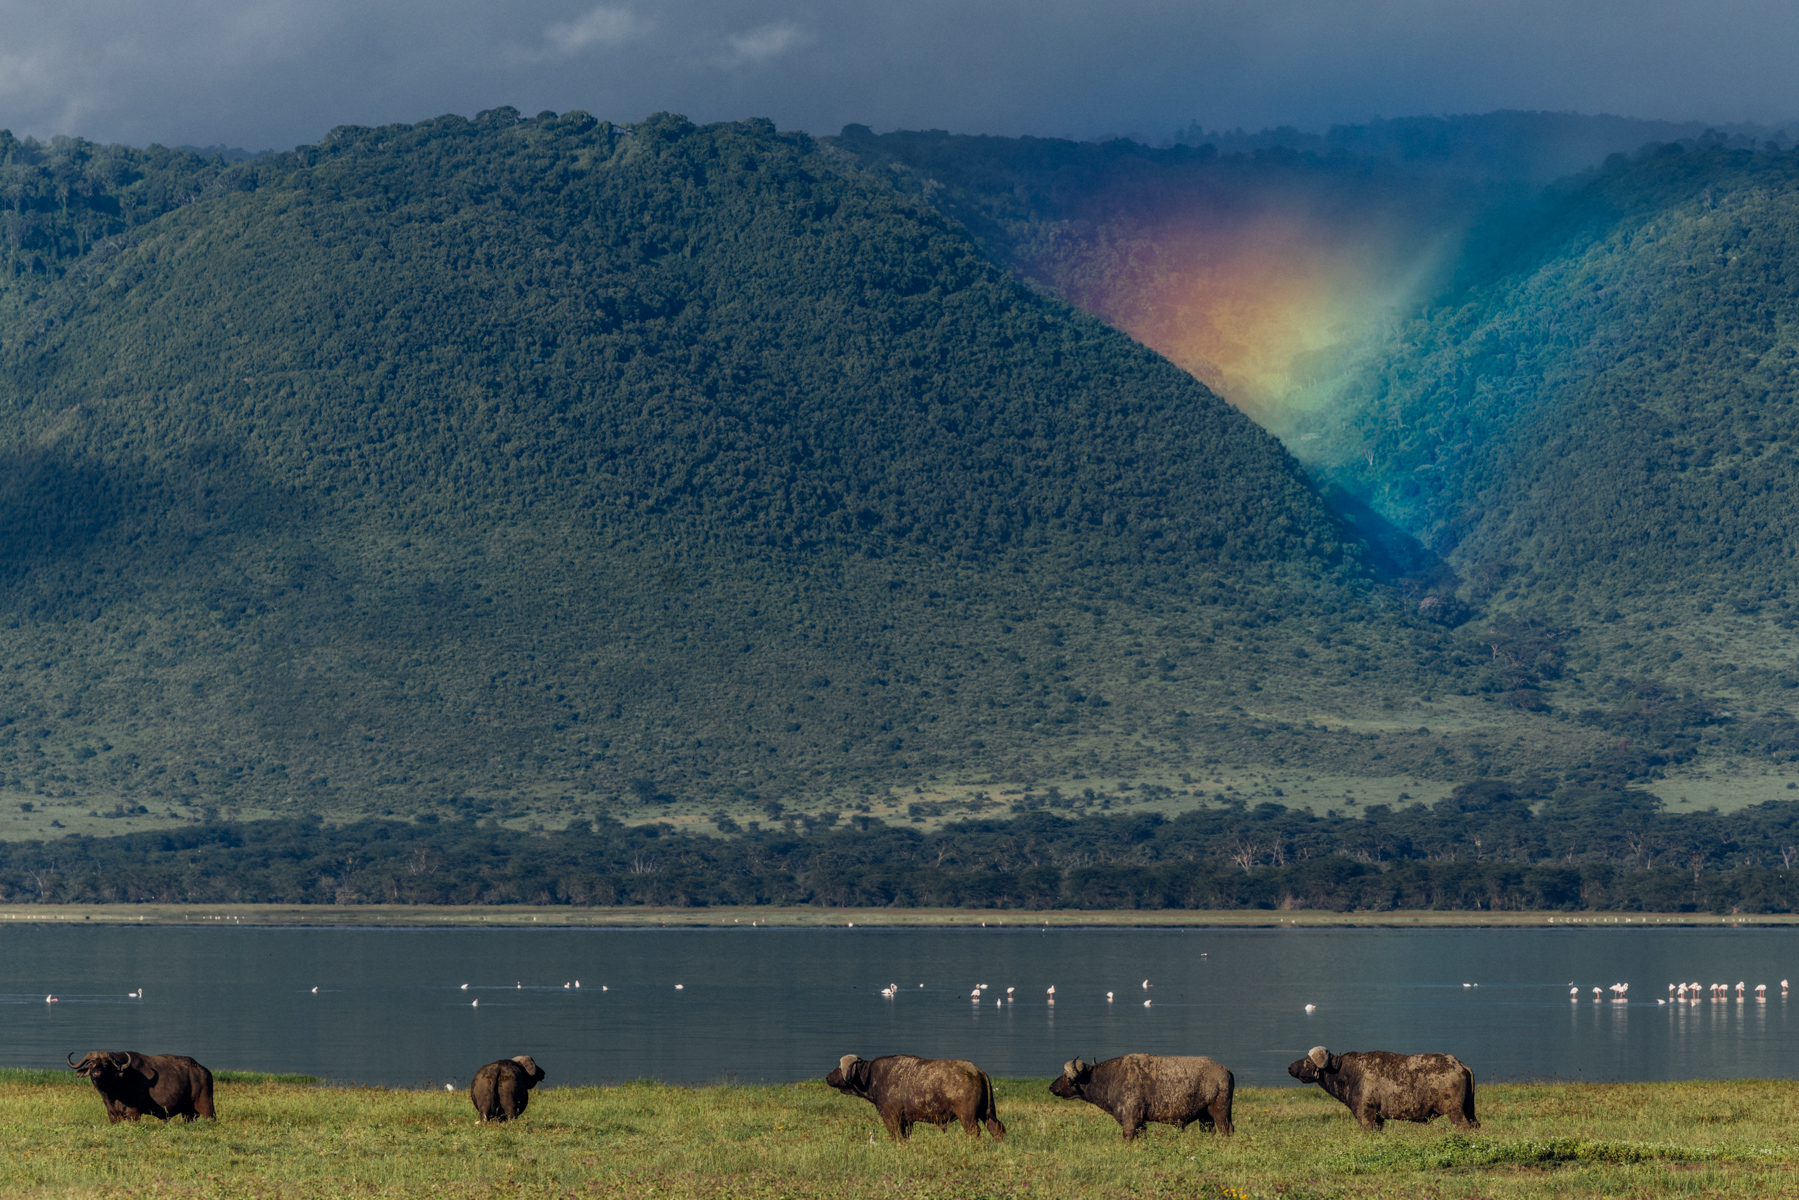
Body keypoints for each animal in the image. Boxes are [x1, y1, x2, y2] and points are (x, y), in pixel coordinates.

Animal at [69, 1051, 215, 1123]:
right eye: (91, 1064)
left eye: (105, 1064)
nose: (96, 1074)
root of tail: (205, 1072)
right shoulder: (113, 1115)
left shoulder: (134, 1114)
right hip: (188, 1113)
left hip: (206, 1107)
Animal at [825, 1054, 1005, 1141]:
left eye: (839, 1067)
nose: (827, 1077)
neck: (870, 1076)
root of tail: (976, 1071)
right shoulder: (907, 1122)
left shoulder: (891, 1117)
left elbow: (896, 1135)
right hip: (987, 1112)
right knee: (997, 1128)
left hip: (967, 1116)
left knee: (975, 1132)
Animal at [1050, 1054, 1235, 1140]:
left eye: (1065, 1076)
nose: (1052, 1087)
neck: (1110, 1078)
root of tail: (1225, 1070)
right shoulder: (1142, 1123)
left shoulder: (1131, 1120)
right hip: (1205, 1118)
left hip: (1219, 1113)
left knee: (1227, 1130)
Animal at [1287, 1046, 1478, 1131]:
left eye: (1307, 1061)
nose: (1290, 1067)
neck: (1347, 1073)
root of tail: (1462, 1066)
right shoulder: (1378, 1120)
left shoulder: (1367, 1117)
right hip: (1470, 1110)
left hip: (1455, 1112)